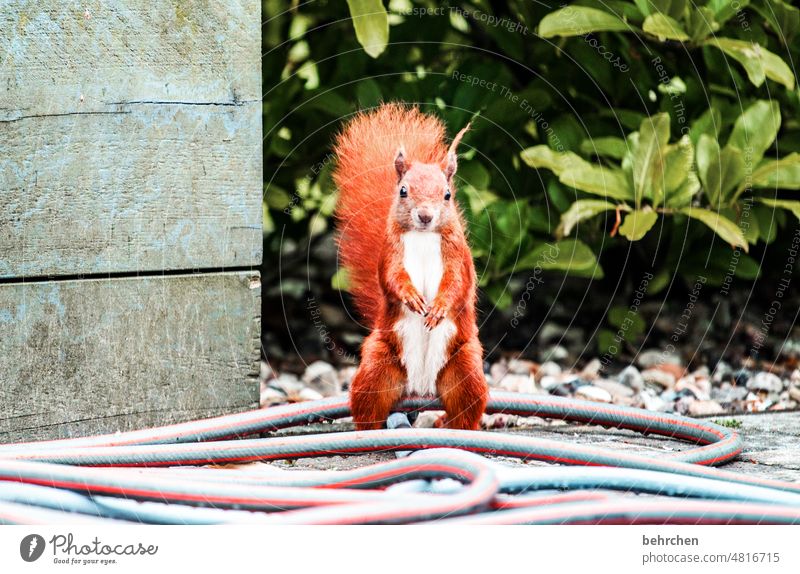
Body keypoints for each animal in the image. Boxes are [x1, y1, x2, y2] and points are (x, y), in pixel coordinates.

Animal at [332, 102, 488, 432]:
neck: (423, 236)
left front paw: (438, 307)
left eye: (447, 194)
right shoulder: (391, 253)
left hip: (465, 367)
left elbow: (456, 283)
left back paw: (451, 428)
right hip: (378, 365)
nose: (425, 216)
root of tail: (421, 388)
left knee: (465, 409)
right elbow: (392, 278)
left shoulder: (458, 257)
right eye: (403, 190)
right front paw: (411, 297)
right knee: (368, 407)